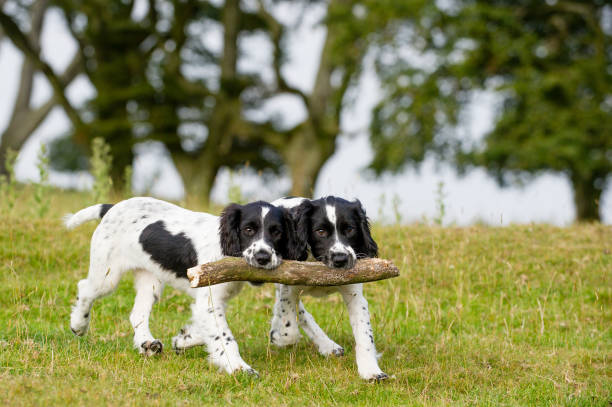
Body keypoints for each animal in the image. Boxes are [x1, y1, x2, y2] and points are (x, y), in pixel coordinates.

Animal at [64, 198, 298, 376]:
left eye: (277, 232)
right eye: (248, 229)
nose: (263, 258)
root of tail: (112, 207)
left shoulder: (213, 300)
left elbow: (207, 330)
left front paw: (183, 339)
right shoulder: (209, 298)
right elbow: (224, 336)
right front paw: (239, 368)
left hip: (151, 280)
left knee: (137, 313)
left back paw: (147, 343)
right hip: (107, 274)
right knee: (85, 288)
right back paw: (79, 324)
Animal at [268, 196, 388, 380]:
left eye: (350, 229)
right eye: (320, 231)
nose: (340, 259)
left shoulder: (354, 294)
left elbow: (364, 334)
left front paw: (371, 370)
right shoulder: (289, 285)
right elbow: (290, 327)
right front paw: (281, 337)